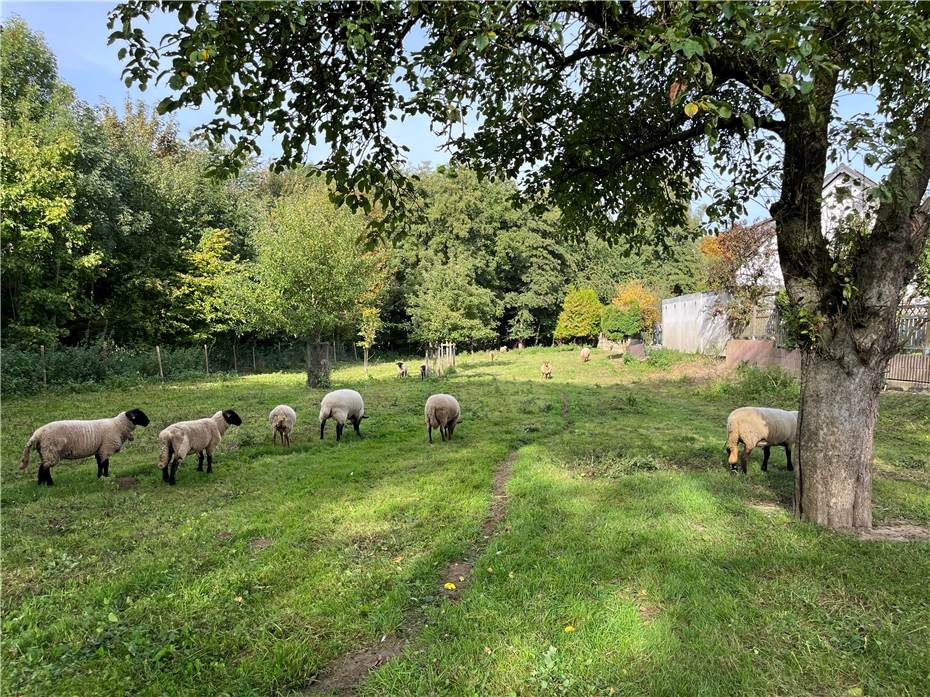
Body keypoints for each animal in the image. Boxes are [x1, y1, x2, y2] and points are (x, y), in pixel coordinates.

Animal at [19, 408, 150, 484]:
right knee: (44, 468)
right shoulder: (106, 448)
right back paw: (50, 484)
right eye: (139, 414)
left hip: (45, 452)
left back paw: (42, 484)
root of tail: (37, 434)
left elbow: (99, 464)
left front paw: (99, 476)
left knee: (43, 468)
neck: (118, 426)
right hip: (50, 451)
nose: (148, 421)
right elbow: (105, 464)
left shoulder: (99, 450)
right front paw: (106, 476)